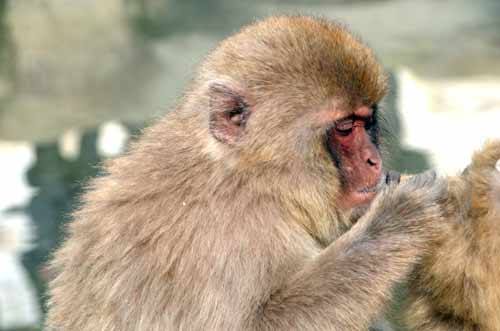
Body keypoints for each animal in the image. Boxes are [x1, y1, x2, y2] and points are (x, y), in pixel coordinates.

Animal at [45, 15, 450, 331]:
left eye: (367, 122)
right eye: (345, 128)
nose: (373, 161)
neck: (250, 175)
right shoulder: (230, 235)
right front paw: (396, 218)